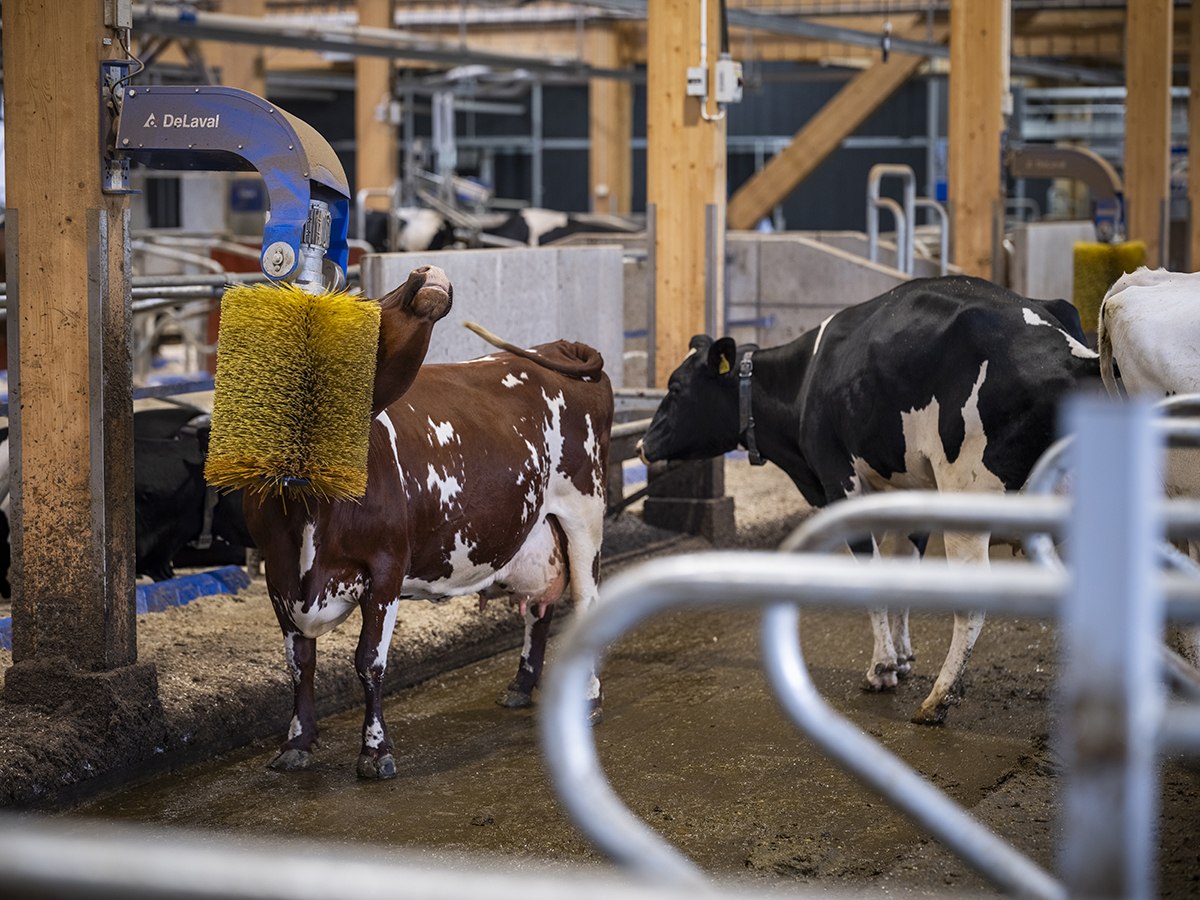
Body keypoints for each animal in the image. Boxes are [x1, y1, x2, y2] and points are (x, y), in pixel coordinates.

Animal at [243, 265, 613, 779]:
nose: (427, 272)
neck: (309, 510)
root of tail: (558, 347)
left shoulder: (385, 568)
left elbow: (369, 661)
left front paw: (376, 750)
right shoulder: (278, 576)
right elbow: (300, 664)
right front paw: (298, 741)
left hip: (584, 511)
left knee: (585, 601)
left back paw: (589, 699)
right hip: (540, 531)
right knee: (539, 609)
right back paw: (521, 686)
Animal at [637, 275, 1100, 725]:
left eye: (675, 388)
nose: (641, 445)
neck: (805, 380)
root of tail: (1076, 354)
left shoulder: (840, 482)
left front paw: (882, 669)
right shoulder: (915, 491)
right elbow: (903, 570)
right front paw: (902, 656)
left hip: (969, 499)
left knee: (973, 605)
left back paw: (938, 700)